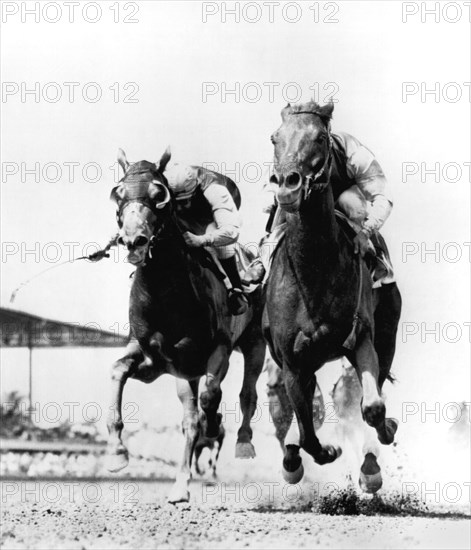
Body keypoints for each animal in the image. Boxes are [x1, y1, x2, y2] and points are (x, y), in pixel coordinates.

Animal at [107, 148, 268, 504]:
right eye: (118, 194)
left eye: (159, 195)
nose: (134, 240)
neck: (166, 293)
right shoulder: (155, 360)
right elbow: (117, 371)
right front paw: (117, 451)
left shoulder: (218, 349)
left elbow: (211, 395)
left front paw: (214, 427)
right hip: (185, 371)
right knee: (190, 418)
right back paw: (181, 483)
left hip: (255, 343)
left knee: (246, 392)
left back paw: (243, 443)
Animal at [262, 101, 402, 486]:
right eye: (275, 138)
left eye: (320, 138)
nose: (288, 184)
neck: (314, 273)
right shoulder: (293, 362)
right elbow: (309, 431)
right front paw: (315, 453)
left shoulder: (361, 337)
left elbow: (372, 407)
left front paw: (381, 439)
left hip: (387, 335)